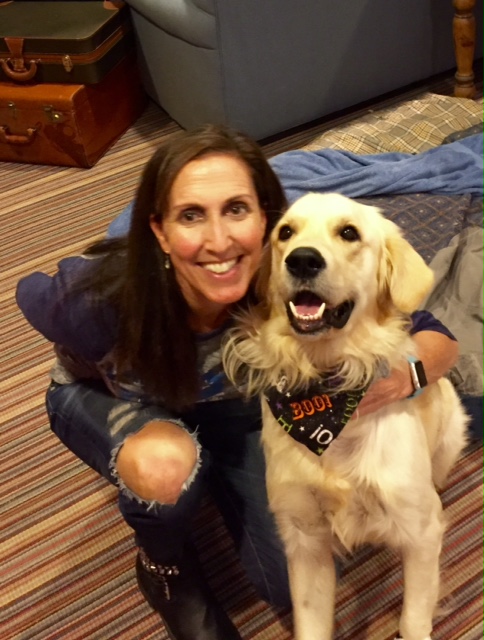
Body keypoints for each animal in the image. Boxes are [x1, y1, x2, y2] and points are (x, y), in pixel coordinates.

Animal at [223, 193, 468, 640]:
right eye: (286, 232)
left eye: (349, 232)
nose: (302, 260)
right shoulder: (304, 539)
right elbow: (311, 623)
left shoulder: (421, 532)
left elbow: (413, 617)